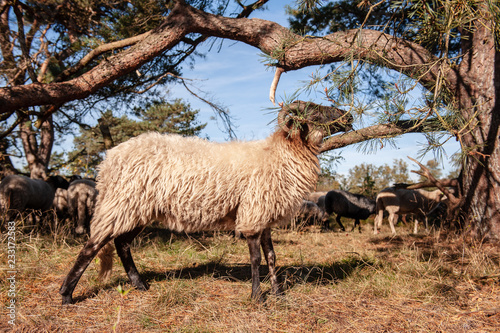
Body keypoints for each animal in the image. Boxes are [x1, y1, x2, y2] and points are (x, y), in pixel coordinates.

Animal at [59, 99, 352, 304]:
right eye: (315, 112)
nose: (349, 117)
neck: (281, 153)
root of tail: (109, 161)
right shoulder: (253, 212)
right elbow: (256, 257)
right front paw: (258, 297)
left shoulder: (263, 213)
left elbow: (271, 256)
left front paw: (278, 294)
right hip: (122, 202)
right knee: (92, 246)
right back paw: (66, 295)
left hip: (138, 208)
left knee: (121, 244)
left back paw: (139, 285)